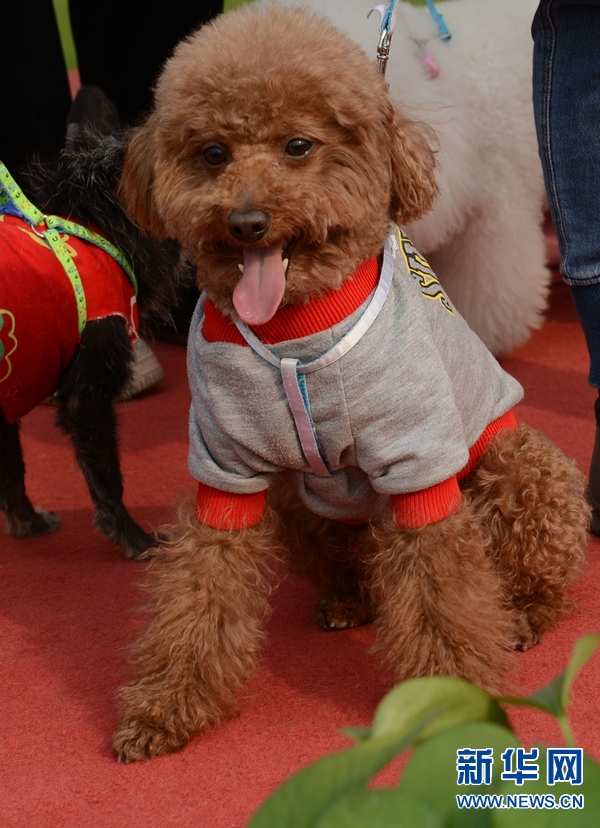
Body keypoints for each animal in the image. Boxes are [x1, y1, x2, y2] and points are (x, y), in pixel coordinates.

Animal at [0, 87, 191, 560]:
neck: (96, 223)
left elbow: (12, 467)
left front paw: (25, 522)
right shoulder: (86, 398)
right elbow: (107, 479)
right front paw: (133, 538)